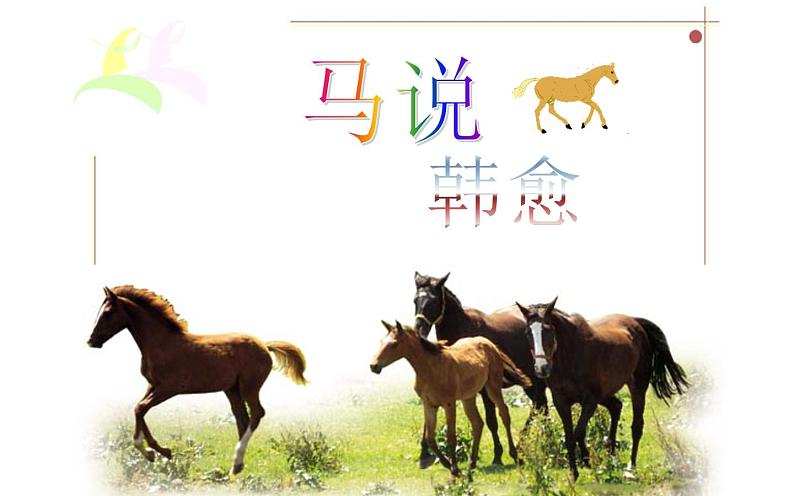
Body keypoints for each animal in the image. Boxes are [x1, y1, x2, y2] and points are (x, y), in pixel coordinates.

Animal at [87, 286, 308, 476]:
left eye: (107, 313)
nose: (91, 341)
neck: (162, 344)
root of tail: (264, 345)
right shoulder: (152, 385)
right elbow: (138, 409)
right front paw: (152, 452)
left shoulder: (169, 388)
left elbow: (140, 408)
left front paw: (159, 452)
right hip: (232, 389)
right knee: (242, 418)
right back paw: (236, 467)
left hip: (249, 387)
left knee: (257, 414)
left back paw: (237, 461)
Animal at [370, 321, 532, 476]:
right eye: (381, 341)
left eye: (394, 344)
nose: (373, 366)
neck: (430, 368)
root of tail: (490, 344)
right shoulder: (429, 405)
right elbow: (430, 437)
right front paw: (447, 464)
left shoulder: (449, 403)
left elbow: (451, 436)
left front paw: (454, 468)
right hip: (468, 398)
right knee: (477, 423)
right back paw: (472, 464)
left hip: (492, 388)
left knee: (504, 413)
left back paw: (515, 455)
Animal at [413, 272, 547, 467]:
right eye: (415, 300)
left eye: (434, 301)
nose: (418, 330)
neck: (463, 328)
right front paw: (424, 452)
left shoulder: (483, 389)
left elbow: (491, 421)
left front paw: (498, 455)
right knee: (541, 406)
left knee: (539, 406)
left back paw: (523, 445)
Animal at [515, 298, 689, 480]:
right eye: (527, 333)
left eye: (548, 330)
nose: (541, 368)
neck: (571, 355)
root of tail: (636, 323)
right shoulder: (561, 401)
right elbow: (569, 437)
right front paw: (574, 473)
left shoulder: (590, 401)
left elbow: (578, 432)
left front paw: (586, 461)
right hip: (606, 393)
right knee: (616, 406)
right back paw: (611, 454)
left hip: (637, 387)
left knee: (636, 426)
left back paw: (630, 467)